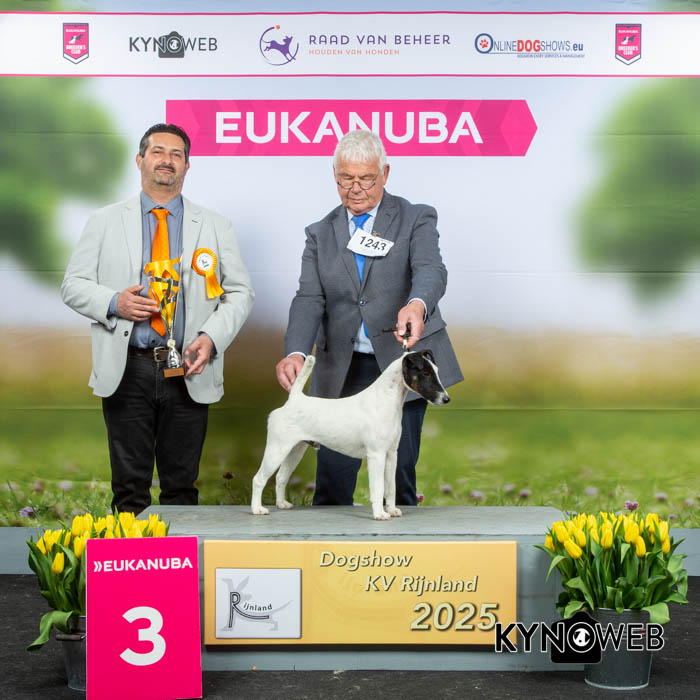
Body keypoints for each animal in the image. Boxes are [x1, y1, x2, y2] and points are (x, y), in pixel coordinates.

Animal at [251, 350, 450, 520]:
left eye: (436, 371)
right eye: (426, 373)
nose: (446, 399)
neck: (385, 400)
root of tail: (293, 400)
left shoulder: (392, 454)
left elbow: (390, 488)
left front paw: (392, 510)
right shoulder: (376, 455)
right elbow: (378, 488)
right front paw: (380, 514)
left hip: (295, 450)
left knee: (281, 477)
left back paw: (282, 504)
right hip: (277, 449)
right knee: (259, 479)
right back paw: (257, 509)